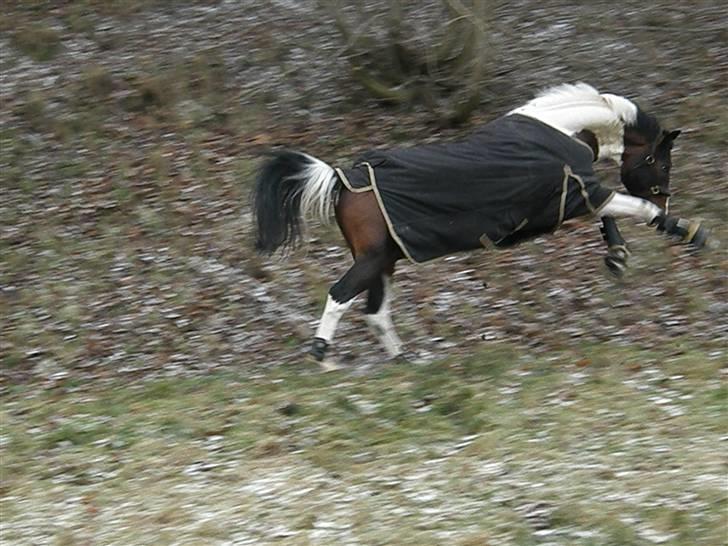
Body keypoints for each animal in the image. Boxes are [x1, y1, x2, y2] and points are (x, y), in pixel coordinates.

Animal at [252, 83, 712, 368]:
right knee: (340, 295)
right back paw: (321, 354)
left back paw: (402, 359)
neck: (566, 130)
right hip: (372, 259)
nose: (666, 198)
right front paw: (690, 232)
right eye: (661, 162)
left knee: (375, 312)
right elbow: (630, 207)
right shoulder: (569, 198)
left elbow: (611, 212)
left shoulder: (573, 197)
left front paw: (617, 256)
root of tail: (339, 179)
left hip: (385, 259)